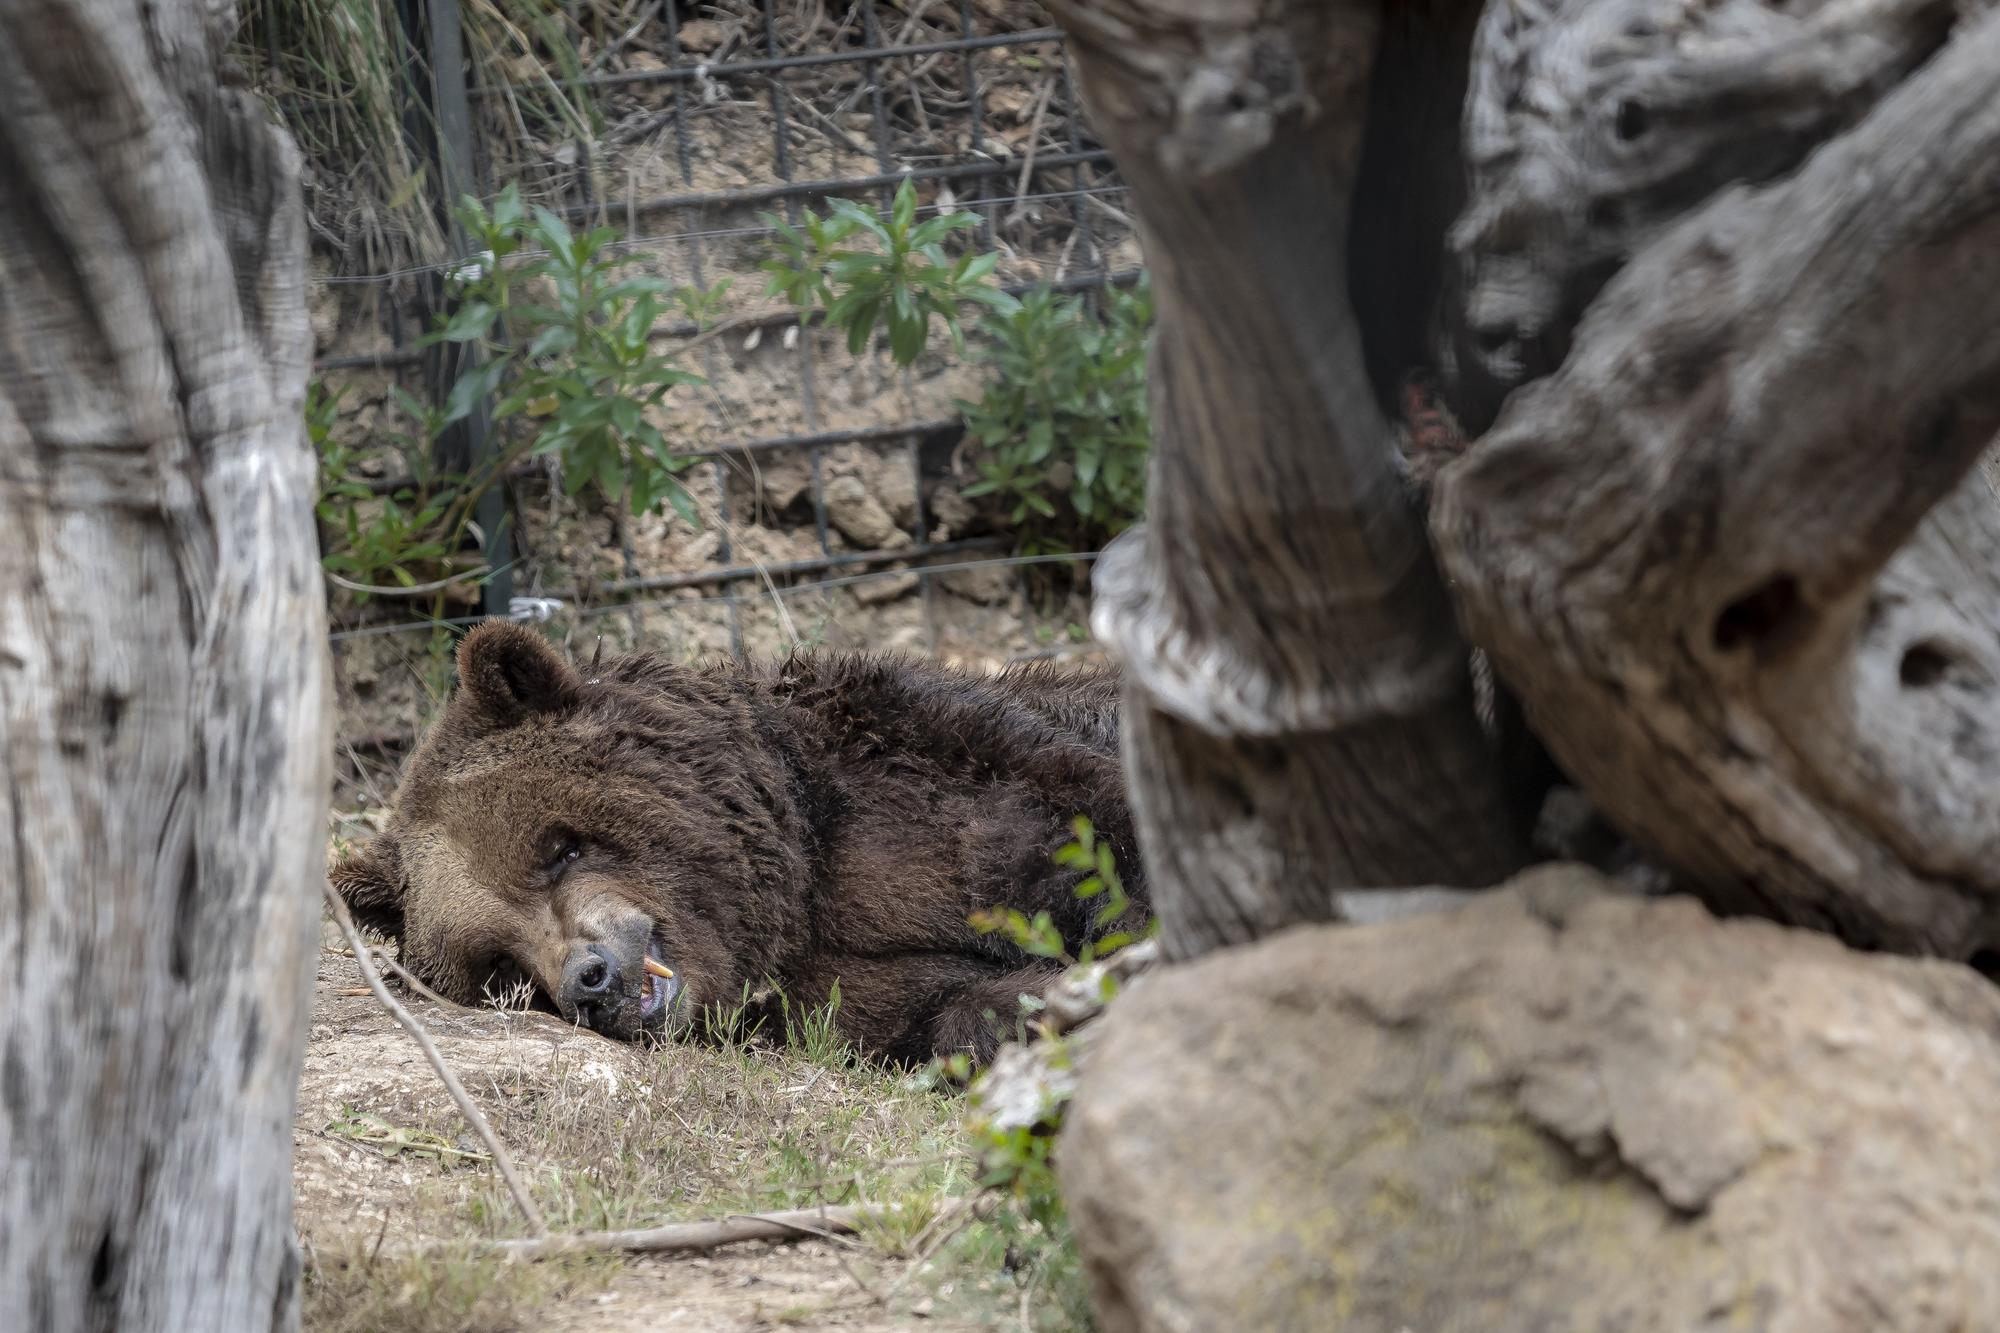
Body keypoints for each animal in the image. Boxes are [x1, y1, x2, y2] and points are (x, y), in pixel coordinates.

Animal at [328, 616, 1144, 1064]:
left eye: (557, 849)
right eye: (499, 967)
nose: (592, 979)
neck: (795, 882)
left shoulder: (939, 771)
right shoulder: (833, 990)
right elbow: (947, 1007)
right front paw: (1052, 997)